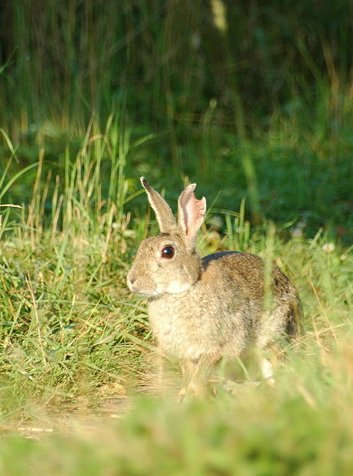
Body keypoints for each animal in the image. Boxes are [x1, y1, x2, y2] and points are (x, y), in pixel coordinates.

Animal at [125, 177, 302, 396]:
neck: (184, 289)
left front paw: (194, 395)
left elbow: (201, 374)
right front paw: (184, 394)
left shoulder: (215, 348)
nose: (132, 280)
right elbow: (189, 373)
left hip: (272, 339)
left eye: (167, 252)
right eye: (141, 246)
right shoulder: (187, 354)